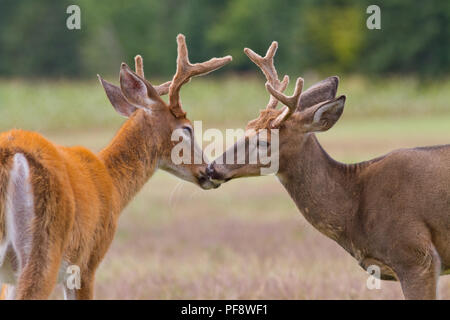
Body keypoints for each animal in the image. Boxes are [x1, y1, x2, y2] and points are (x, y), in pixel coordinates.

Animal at [0, 33, 230, 298]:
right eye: (187, 128)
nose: (209, 171)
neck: (112, 183)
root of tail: (11, 156)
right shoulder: (87, 260)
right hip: (44, 246)